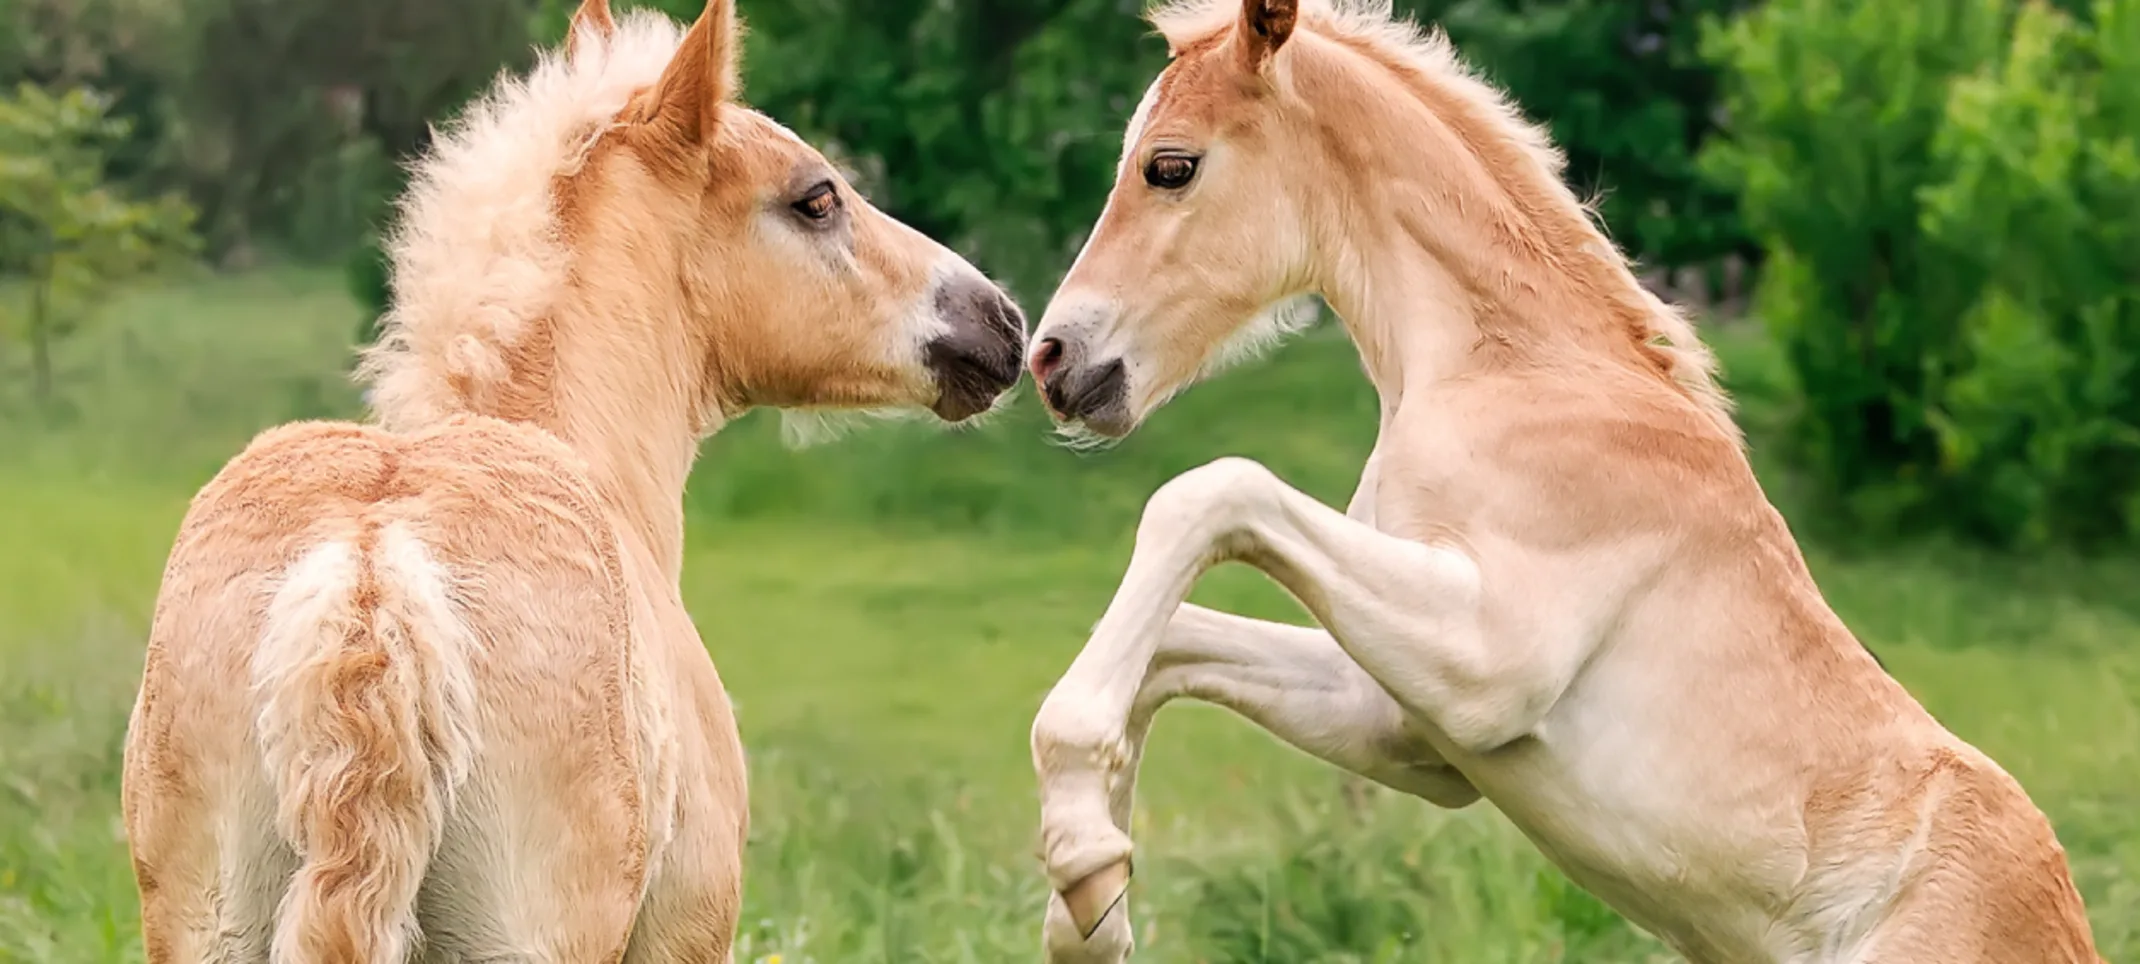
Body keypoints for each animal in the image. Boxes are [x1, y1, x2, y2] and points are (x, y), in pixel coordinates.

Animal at [1027, 1, 2097, 964]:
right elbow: (1175, 646)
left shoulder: (1489, 665)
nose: (1053, 358)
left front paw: (1082, 841)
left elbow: (1209, 496)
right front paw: (1090, 901)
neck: (1520, 375)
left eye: (1170, 165)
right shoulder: (1402, 725)